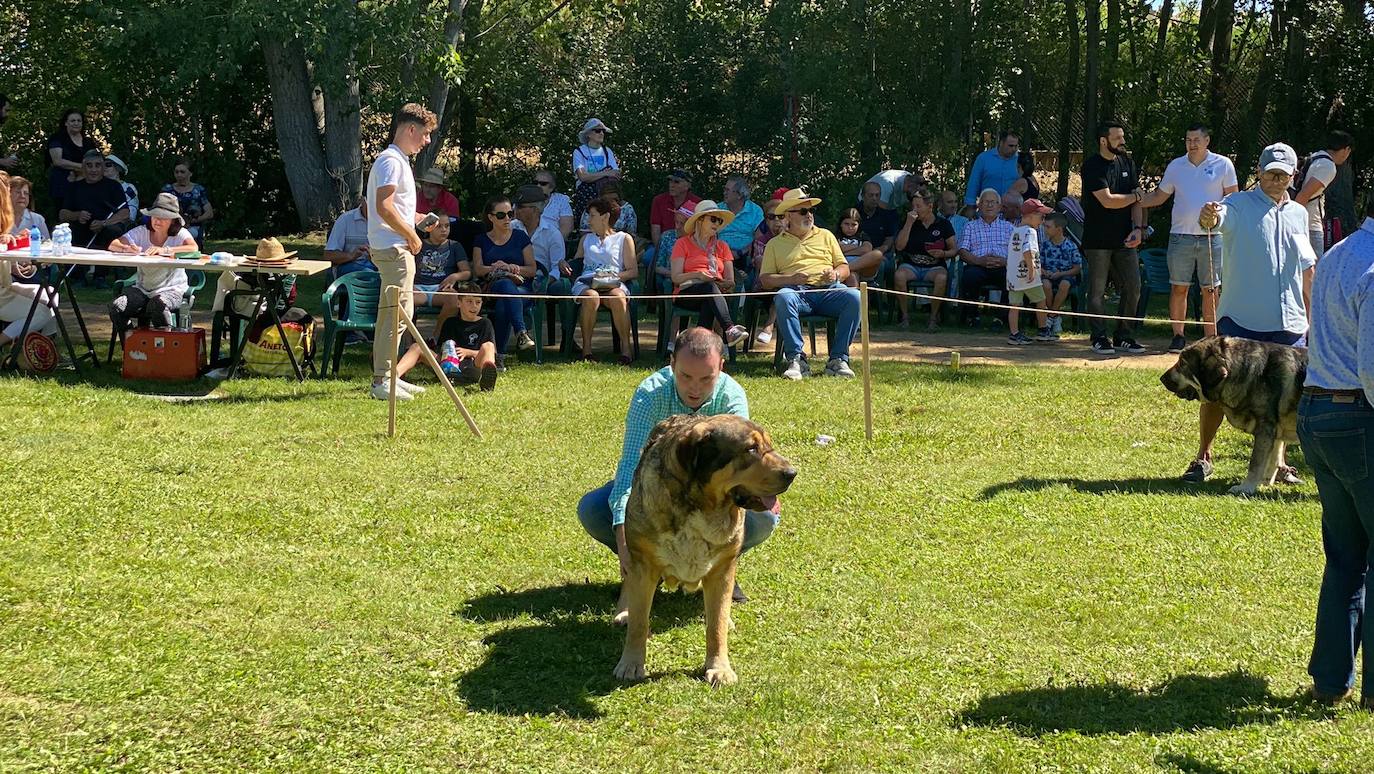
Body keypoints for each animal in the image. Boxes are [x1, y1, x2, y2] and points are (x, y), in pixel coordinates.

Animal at [612, 415, 796, 687]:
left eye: (768, 445)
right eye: (751, 449)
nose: (792, 473)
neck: (702, 509)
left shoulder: (722, 570)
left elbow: (715, 626)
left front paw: (719, 668)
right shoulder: (643, 566)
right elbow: (639, 623)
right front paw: (631, 663)